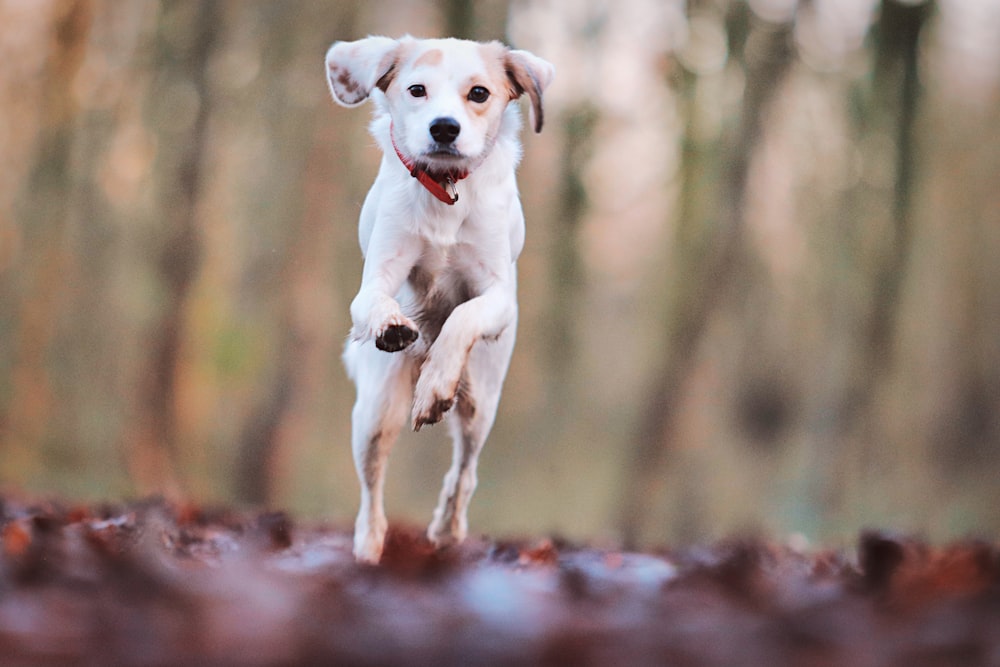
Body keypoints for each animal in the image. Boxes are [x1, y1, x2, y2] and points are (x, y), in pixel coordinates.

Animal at [324, 36, 552, 564]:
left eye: (479, 93)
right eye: (417, 90)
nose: (444, 128)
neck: (446, 189)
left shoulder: (499, 296)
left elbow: (464, 316)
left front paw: (434, 385)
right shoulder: (377, 277)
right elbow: (374, 302)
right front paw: (392, 325)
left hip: (481, 403)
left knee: (463, 472)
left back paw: (447, 529)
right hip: (375, 412)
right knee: (372, 494)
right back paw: (368, 548)